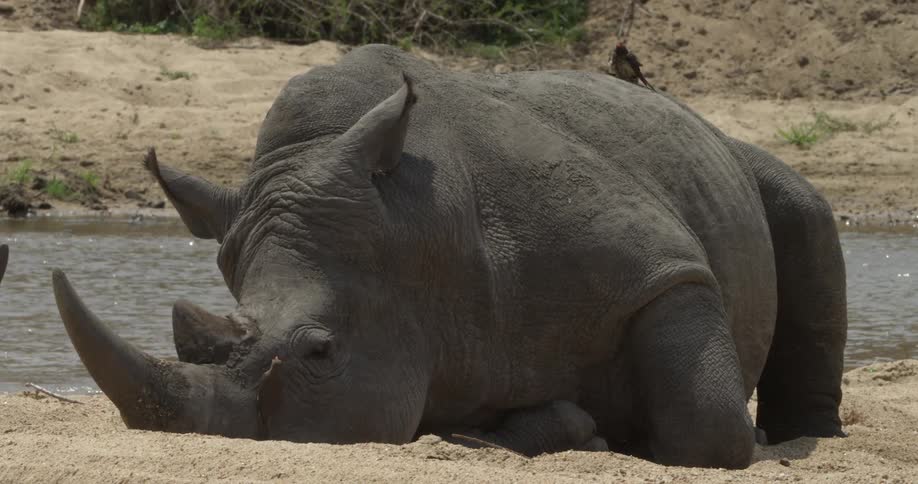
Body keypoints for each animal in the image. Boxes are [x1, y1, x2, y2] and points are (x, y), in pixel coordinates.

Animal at [51, 44, 847, 469]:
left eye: (320, 351)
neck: (419, 232)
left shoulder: (659, 268)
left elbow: (705, 425)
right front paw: (567, 425)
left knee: (803, 210)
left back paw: (799, 437)